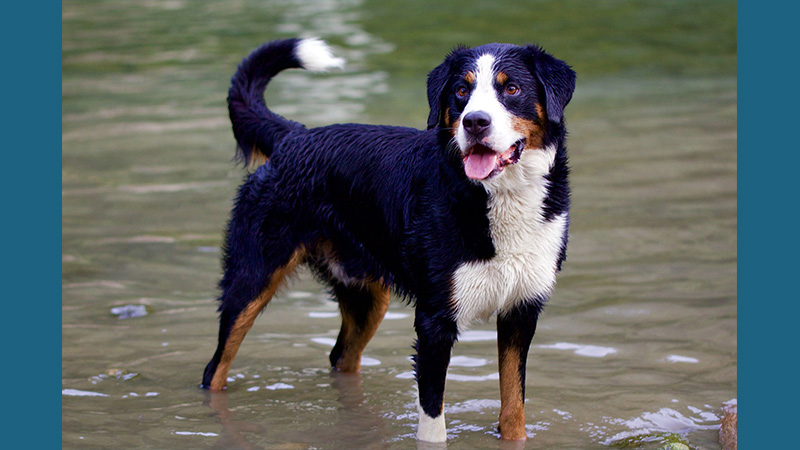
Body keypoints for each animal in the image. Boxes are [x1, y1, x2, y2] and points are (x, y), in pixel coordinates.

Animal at [200, 36, 576, 442]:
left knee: (341, 357)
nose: (475, 121)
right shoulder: (434, 321)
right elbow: (433, 422)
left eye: (511, 89)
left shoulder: (521, 312)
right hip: (251, 280)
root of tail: (295, 136)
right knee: (216, 368)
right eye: (462, 91)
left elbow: (513, 410)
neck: (497, 199)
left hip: (367, 297)